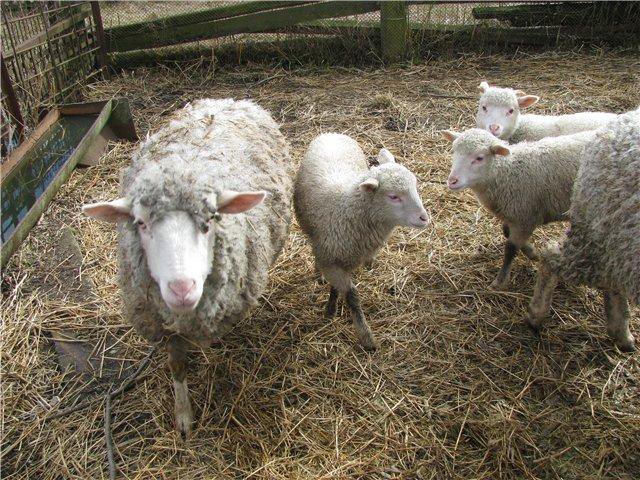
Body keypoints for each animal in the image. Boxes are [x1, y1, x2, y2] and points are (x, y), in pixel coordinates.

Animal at [82, 98, 293, 435]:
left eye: (211, 220)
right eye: (140, 223)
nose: (182, 289)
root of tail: (226, 101)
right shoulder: (165, 327)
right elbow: (177, 366)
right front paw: (184, 417)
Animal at [294, 133, 430, 350]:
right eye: (393, 197)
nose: (424, 218)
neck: (346, 209)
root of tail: (332, 133)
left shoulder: (347, 259)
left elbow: (337, 289)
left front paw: (331, 306)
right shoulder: (331, 260)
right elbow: (352, 296)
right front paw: (365, 336)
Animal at [442, 127, 597, 289]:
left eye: (479, 158)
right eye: (454, 151)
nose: (452, 181)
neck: (508, 173)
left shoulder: (525, 217)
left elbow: (510, 248)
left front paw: (500, 281)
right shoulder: (515, 216)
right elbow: (506, 232)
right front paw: (532, 252)